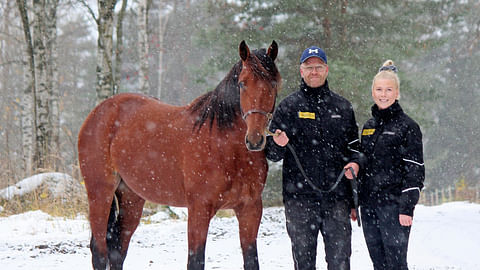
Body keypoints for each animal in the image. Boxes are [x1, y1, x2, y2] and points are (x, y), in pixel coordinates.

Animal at [78, 40, 282, 270]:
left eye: (273, 84)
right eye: (242, 84)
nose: (255, 139)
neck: (225, 149)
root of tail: (100, 111)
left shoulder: (250, 210)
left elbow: (251, 260)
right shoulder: (199, 210)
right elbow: (196, 260)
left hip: (131, 197)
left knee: (117, 251)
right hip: (100, 193)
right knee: (99, 251)